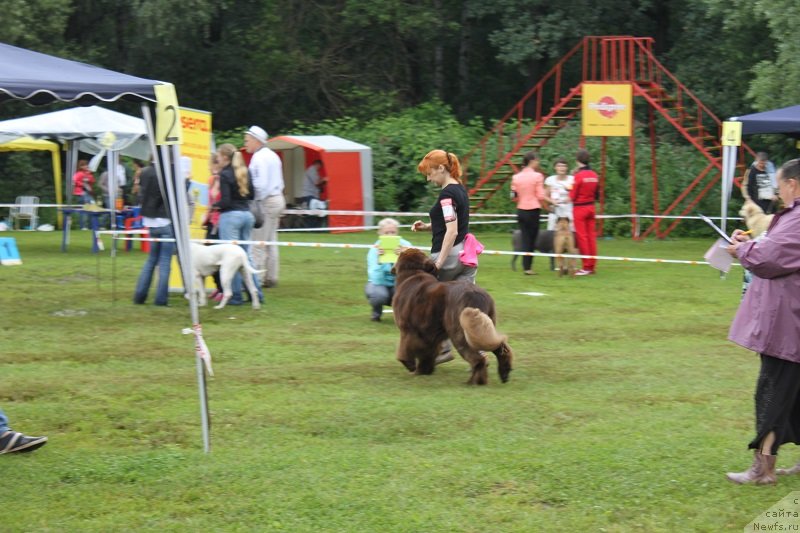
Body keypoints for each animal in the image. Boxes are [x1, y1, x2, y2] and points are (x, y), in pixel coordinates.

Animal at [392, 247, 516, 384]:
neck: (413, 273)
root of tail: (476, 294)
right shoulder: (429, 336)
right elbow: (426, 355)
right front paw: (423, 371)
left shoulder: (407, 330)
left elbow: (404, 350)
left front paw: (411, 366)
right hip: (484, 327)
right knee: (498, 347)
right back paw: (504, 372)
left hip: (459, 332)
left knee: (478, 358)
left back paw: (475, 382)